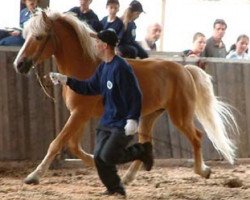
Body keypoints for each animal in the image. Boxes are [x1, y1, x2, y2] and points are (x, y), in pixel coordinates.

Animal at [13, 9, 238, 184]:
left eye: (39, 36)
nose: (19, 64)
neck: (85, 68)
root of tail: (184, 70)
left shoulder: (79, 114)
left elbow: (56, 143)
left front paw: (33, 176)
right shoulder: (80, 115)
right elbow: (73, 146)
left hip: (179, 116)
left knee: (197, 137)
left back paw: (203, 170)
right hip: (149, 116)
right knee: (147, 143)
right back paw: (129, 177)